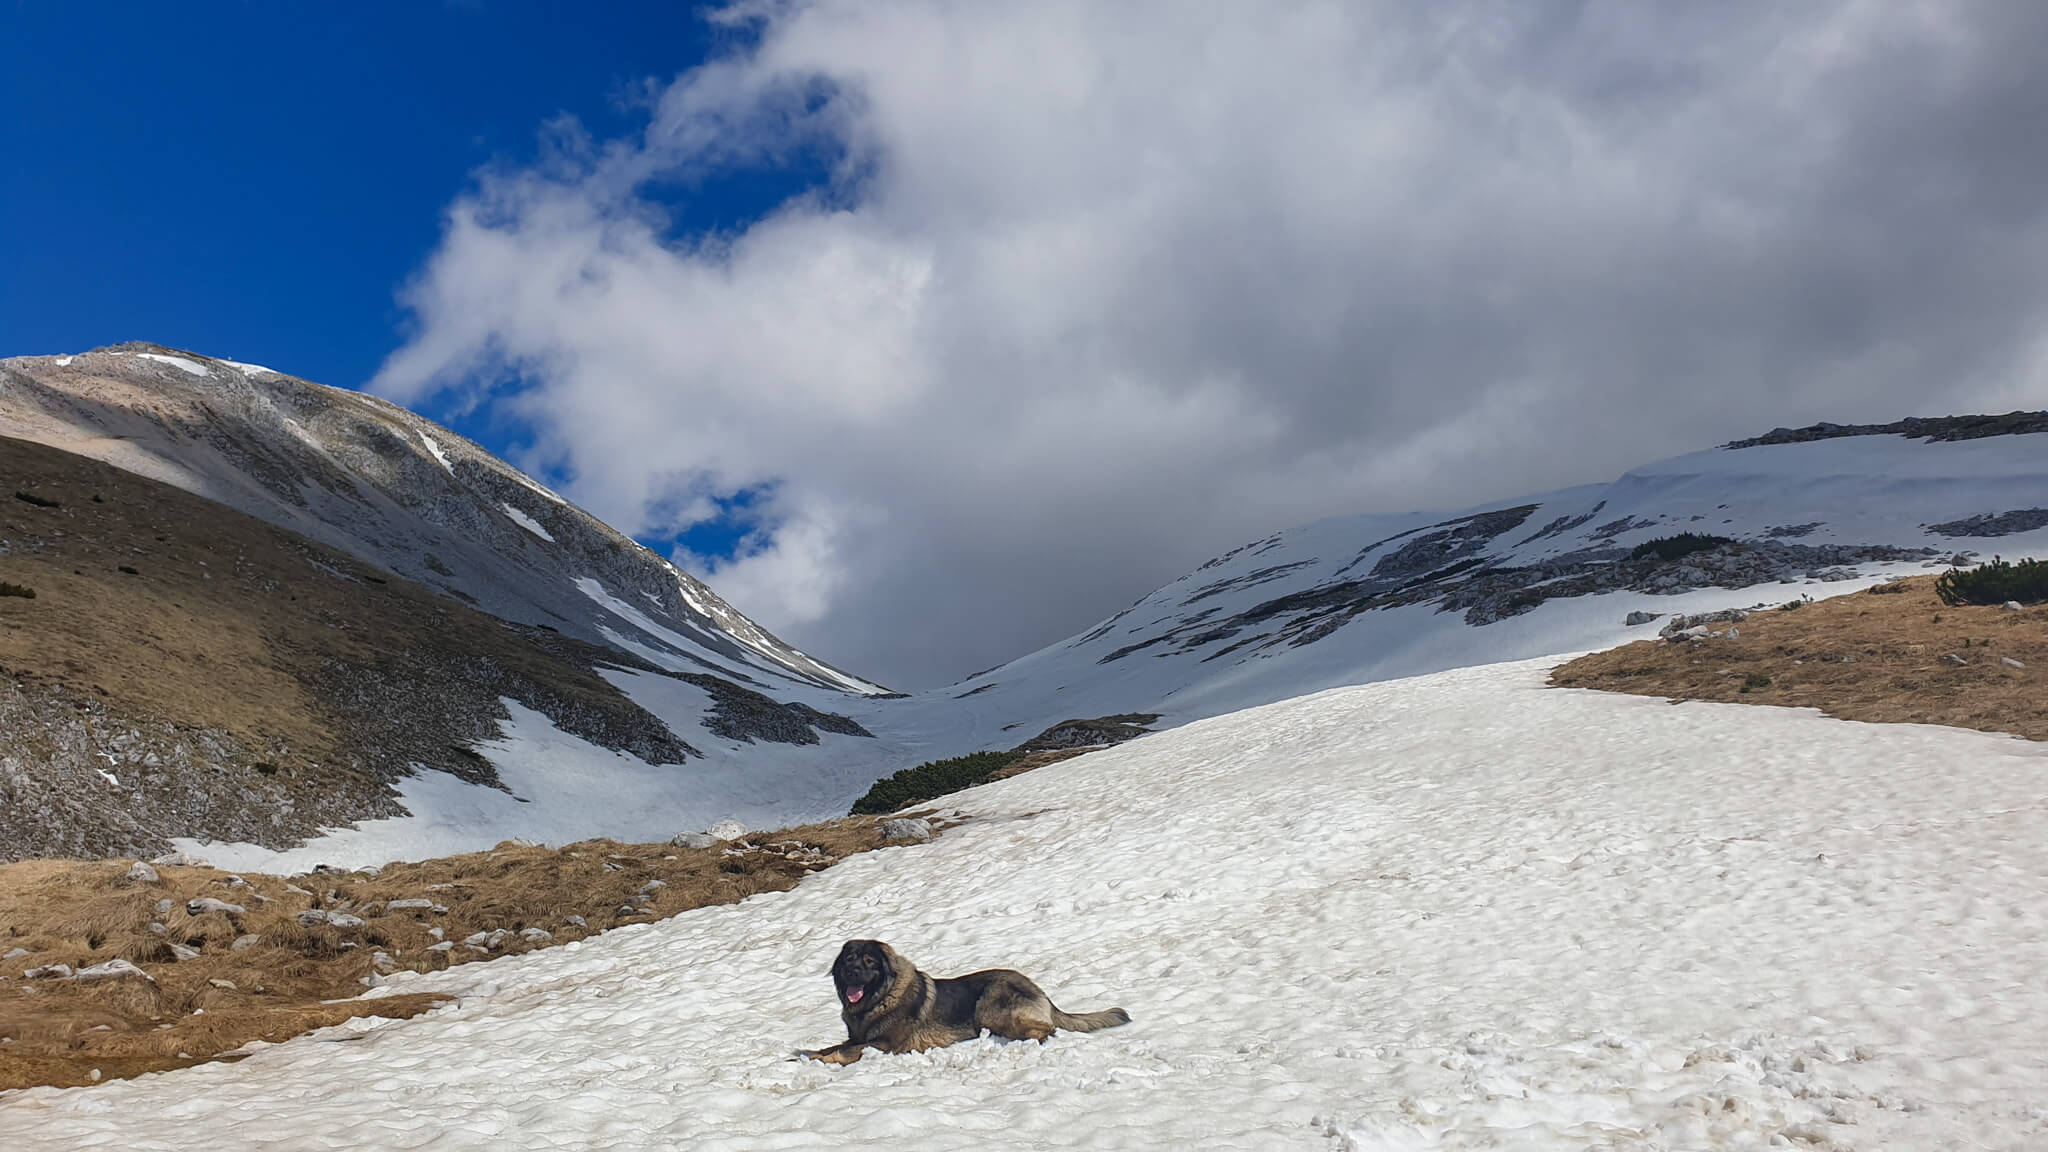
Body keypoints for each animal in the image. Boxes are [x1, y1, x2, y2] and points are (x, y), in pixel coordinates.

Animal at [794, 938, 1130, 1065]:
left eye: (869, 962)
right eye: (849, 960)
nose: (852, 973)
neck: (878, 999)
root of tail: (1040, 990)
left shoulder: (885, 1045)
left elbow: (844, 1051)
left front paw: (816, 1060)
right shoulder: (858, 1035)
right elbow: (835, 1045)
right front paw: (808, 1054)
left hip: (990, 1004)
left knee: (1045, 1030)